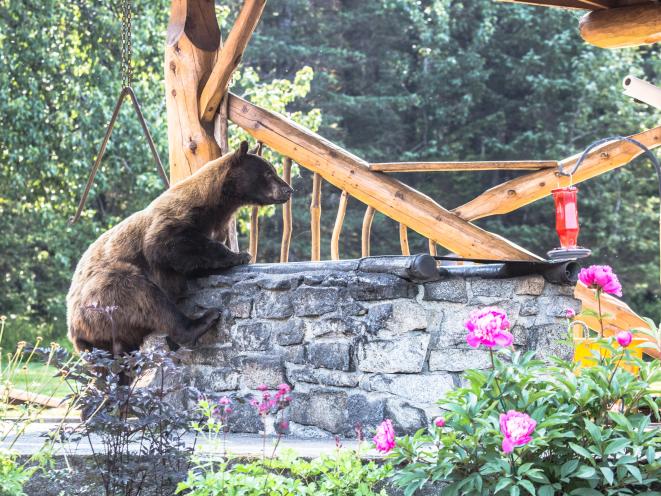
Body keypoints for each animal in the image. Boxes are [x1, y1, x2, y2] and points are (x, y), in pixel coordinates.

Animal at [66, 141, 292, 356]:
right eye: (269, 172)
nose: (289, 189)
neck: (218, 203)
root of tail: (75, 332)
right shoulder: (177, 218)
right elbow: (166, 245)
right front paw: (240, 255)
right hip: (103, 297)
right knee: (143, 295)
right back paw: (204, 319)